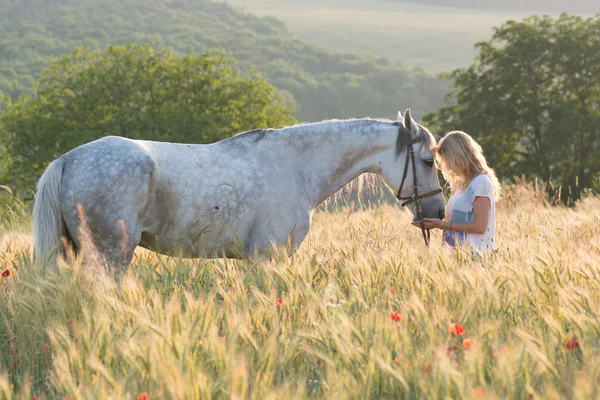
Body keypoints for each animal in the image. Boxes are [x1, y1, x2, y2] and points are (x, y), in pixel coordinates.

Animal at [32, 109, 446, 268]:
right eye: (428, 161)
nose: (438, 212)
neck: (297, 166)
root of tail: (68, 159)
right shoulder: (268, 257)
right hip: (110, 255)